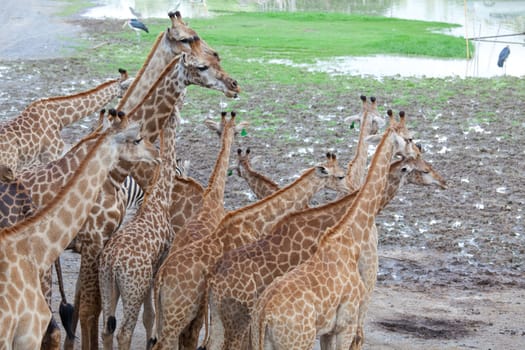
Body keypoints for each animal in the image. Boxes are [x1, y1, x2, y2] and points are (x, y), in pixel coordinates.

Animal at [250, 110, 418, 350]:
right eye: (409, 138)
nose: (415, 155)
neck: (350, 240)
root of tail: (265, 315)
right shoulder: (345, 324)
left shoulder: (327, 331)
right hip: (297, 342)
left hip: (258, 339)